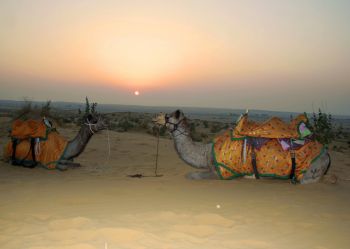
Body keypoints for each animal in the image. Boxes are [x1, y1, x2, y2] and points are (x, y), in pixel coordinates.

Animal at [155, 110, 330, 184]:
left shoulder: (220, 173)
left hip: (309, 172)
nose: (155, 119)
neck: (206, 153)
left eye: (168, 116)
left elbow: (191, 175)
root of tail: (327, 156)